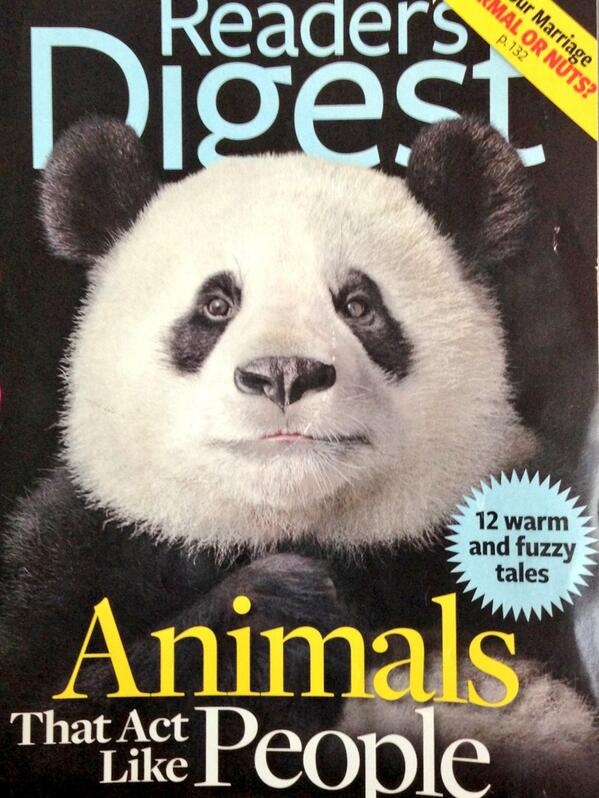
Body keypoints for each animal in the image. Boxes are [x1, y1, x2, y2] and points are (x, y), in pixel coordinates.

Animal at [0, 116, 597, 797]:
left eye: (359, 306)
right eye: (216, 305)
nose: (284, 372)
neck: (290, 521)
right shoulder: (79, 549)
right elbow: (56, 715)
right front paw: (283, 616)